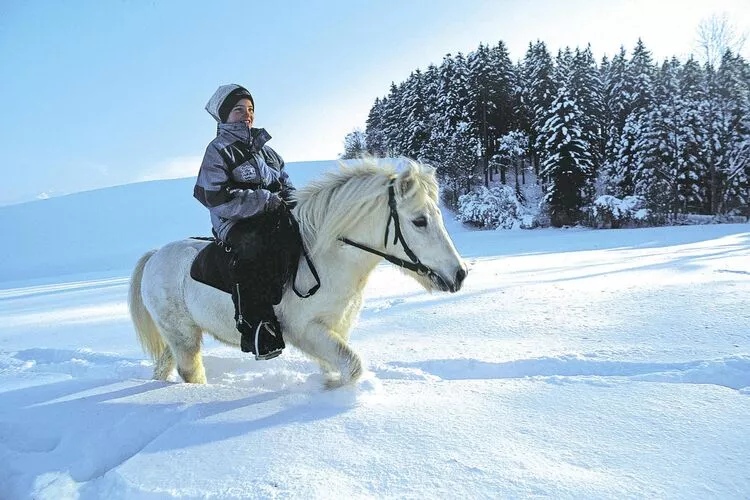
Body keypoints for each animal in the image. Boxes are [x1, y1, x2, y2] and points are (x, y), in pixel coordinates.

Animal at [130, 158, 470, 388]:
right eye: (419, 221)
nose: (459, 274)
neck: (326, 259)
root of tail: (155, 255)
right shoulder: (307, 331)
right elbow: (353, 366)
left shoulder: (335, 329)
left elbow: (341, 365)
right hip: (183, 335)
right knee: (190, 372)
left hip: (176, 336)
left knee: (164, 366)